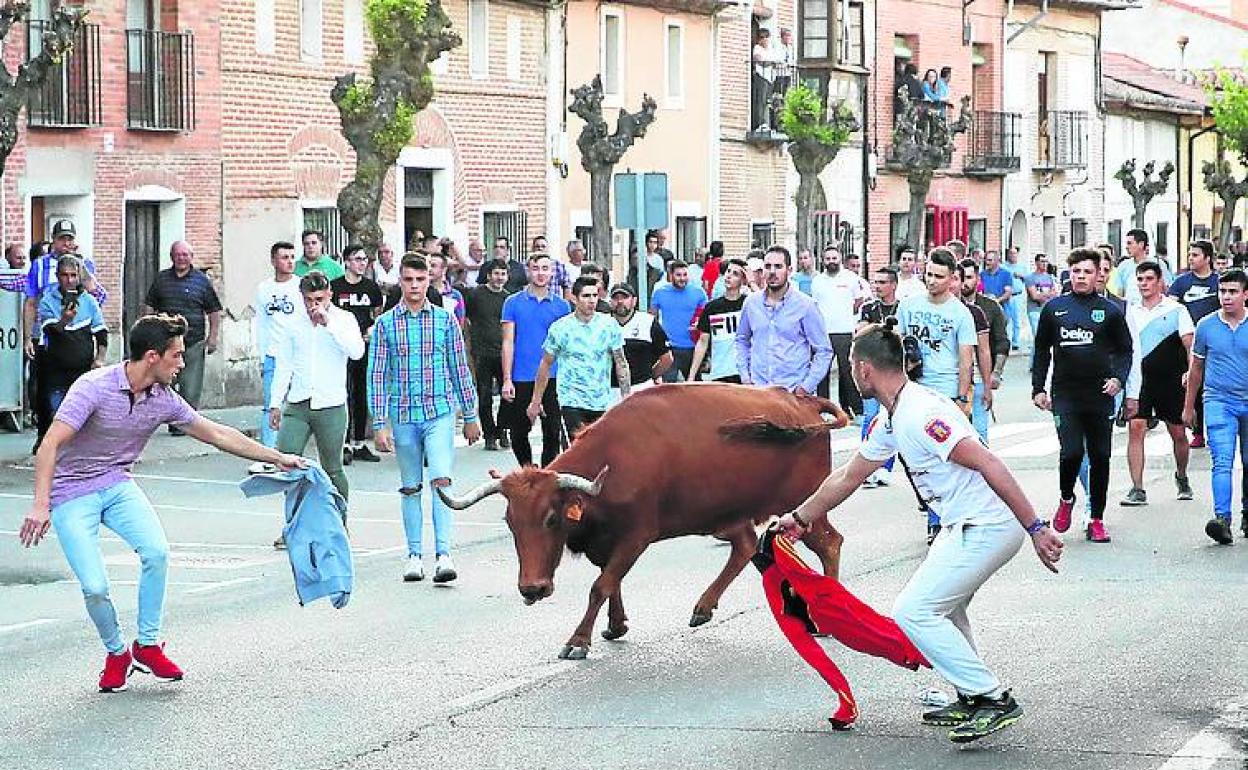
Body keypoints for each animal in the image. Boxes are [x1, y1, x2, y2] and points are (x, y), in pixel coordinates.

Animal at [439, 381, 848, 658]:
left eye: (552, 519)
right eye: (510, 522)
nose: (532, 589)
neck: (613, 460)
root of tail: (804, 402)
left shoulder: (636, 536)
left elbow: (601, 585)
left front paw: (578, 640)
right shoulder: (608, 541)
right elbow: (611, 581)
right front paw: (615, 625)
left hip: (804, 504)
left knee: (830, 542)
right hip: (724, 513)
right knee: (745, 545)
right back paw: (703, 607)